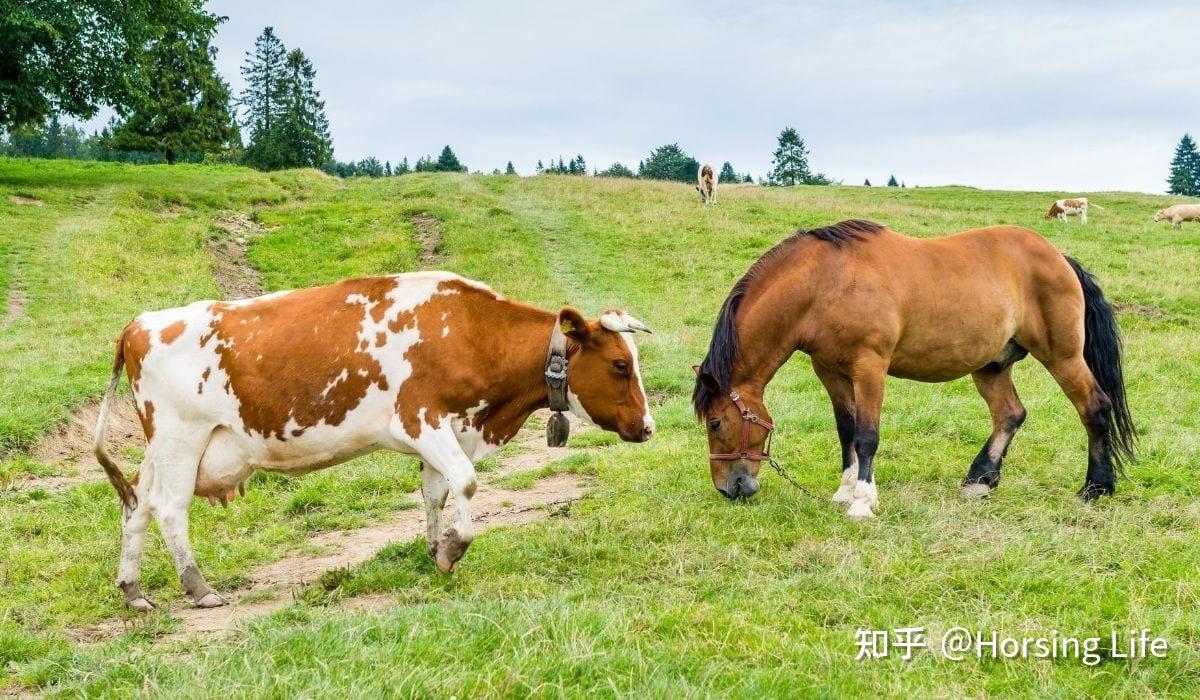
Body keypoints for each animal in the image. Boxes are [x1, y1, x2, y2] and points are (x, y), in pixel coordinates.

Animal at [93, 271, 657, 609]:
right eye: (619, 364)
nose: (648, 427)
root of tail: (140, 322)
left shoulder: (445, 432)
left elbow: (436, 492)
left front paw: (435, 549)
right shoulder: (420, 419)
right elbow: (467, 482)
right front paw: (454, 548)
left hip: (160, 449)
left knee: (136, 506)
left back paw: (133, 590)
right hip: (181, 439)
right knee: (169, 509)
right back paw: (198, 587)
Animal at [696, 218, 1132, 521]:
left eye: (715, 422)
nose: (729, 488)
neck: (827, 283)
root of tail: (1060, 258)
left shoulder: (869, 367)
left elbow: (866, 436)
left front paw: (862, 502)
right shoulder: (830, 371)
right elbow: (846, 431)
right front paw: (845, 490)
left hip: (1063, 357)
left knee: (1094, 408)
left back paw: (1096, 486)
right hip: (991, 366)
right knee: (1010, 414)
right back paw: (979, 481)